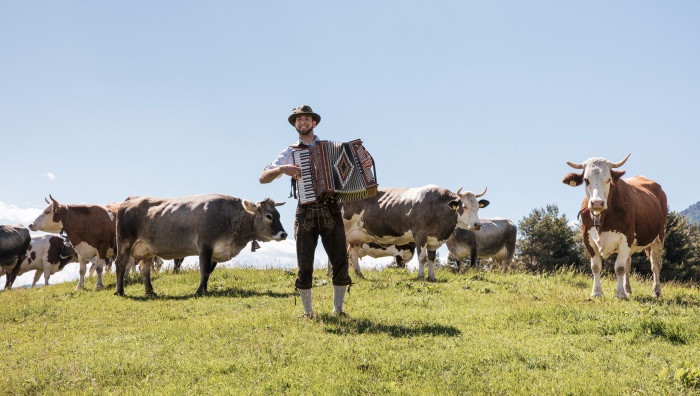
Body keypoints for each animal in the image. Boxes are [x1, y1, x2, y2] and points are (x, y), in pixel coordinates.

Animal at [114, 193, 288, 296]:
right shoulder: (205, 246)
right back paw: (119, 291)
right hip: (124, 243)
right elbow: (204, 270)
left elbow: (209, 272)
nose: (284, 234)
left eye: (279, 215)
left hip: (147, 250)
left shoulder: (216, 252)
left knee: (145, 269)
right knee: (121, 265)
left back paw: (150, 292)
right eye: (269, 216)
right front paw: (199, 291)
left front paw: (204, 289)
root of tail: (127, 203)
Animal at [560, 153, 668, 298]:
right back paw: (628, 289)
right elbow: (596, 267)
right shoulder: (587, 239)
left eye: (608, 179)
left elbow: (619, 268)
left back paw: (656, 291)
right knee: (628, 264)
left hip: (659, 237)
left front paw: (620, 294)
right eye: (586, 179)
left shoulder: (626, 238)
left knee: (655, 264)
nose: (597, 203)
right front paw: (596, 292)